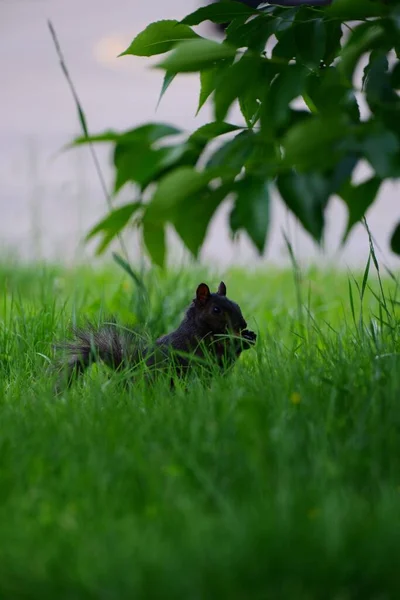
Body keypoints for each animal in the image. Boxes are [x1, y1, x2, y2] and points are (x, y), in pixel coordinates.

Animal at [56, 282, 256, 390]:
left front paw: (250, 336)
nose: (242, 325)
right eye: (216, 310)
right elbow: (222, 354)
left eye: (236, 304)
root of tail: (127, 372)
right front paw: (241, 340)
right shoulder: (199, 346)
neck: (198, 329)